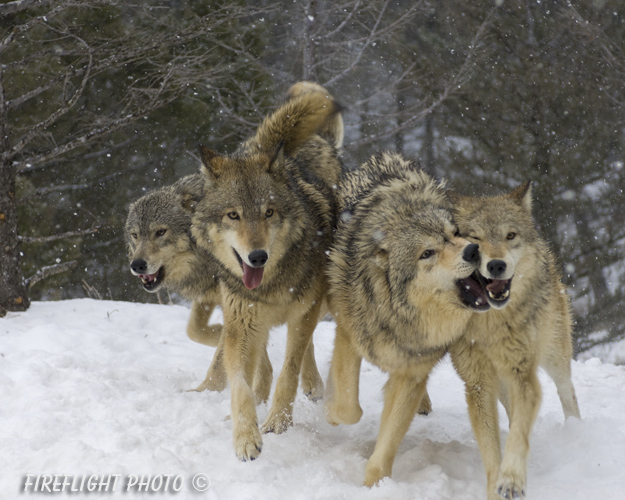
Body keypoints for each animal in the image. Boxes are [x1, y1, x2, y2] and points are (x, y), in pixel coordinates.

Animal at [193, 82, 344, 460]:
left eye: (269, 212)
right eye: (233, 215)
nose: (258, 256)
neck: (272, 283)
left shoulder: (303, 313)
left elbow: (289, 372)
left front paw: (277, 424)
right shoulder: (241, 325)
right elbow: (239, 384)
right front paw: (246, 436)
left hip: (321, 302)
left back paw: (313, 385)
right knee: (263, 364)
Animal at [322, 151, 488, 484]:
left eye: (454, 234)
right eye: (427, 253)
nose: (473, 249)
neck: (399, 318)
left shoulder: (412, 373)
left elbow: (387, 446)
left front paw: (374, 485)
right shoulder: (348, 337)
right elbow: (349, 408)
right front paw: (329, 411)